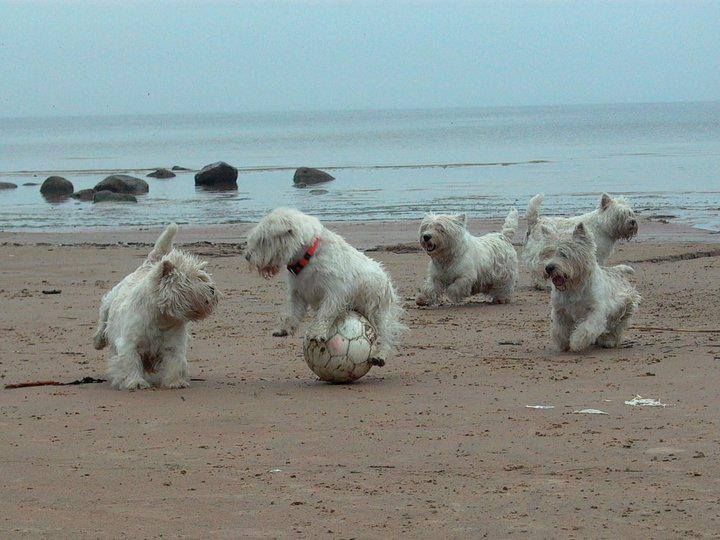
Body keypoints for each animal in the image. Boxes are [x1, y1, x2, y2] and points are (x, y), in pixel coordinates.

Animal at [93, 221, 218, 390]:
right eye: (190, 279)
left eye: (204, 277)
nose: (212, 289)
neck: (161, 317)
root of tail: (147, 265)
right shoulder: (129, 344)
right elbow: (130, 362)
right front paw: (135, 382)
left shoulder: (173, 345)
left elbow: (175, 362)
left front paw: (175, 382)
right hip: (109, 301)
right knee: (102, 322)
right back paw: (98, 341)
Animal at [245, 207, 404, 368]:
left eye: (263, 240)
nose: (247, 256)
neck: (307, 257)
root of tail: (386, 277)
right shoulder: (298, 293)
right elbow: (292, 313)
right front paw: (284, 328)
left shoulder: (335, 292)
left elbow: (326, 313)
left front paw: (317, 333)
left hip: (378, 311)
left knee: (387, 335)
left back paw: (380, 355)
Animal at [544, 221, 640, 352]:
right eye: (547, 254)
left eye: (564, 254)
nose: (549, 268)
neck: (574, 286)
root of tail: (616, 270)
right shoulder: (560, 309)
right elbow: (559, 328)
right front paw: (563, 342)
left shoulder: (596, 310)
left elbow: (586, 328)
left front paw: (576, 342)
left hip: (625, 305)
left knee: (617, 326)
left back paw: (608, 341)